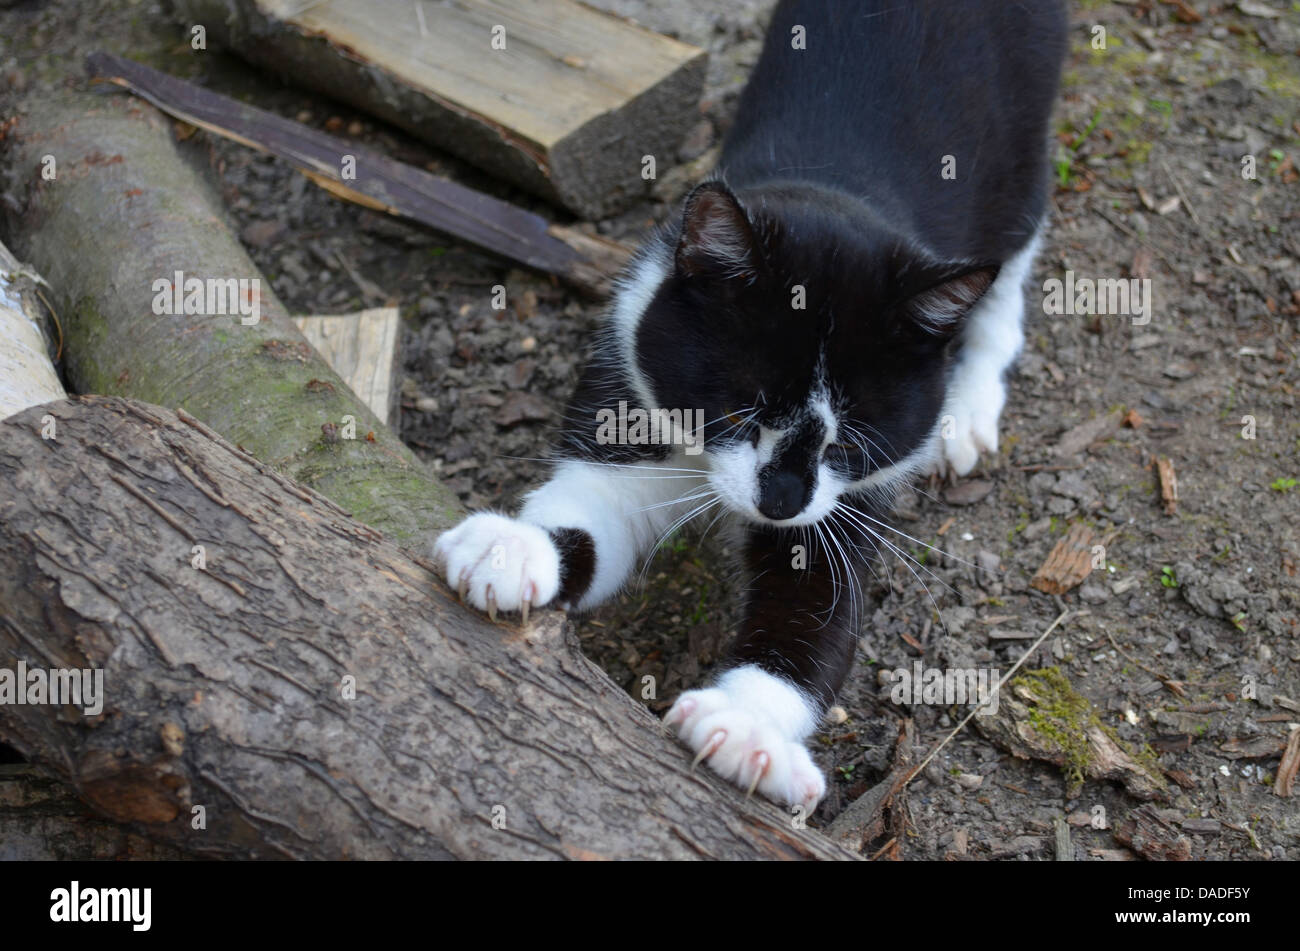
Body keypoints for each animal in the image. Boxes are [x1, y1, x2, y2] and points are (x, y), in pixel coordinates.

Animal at [434, 1, 1066, 810]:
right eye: (739, 411)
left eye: (847, 443)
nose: (780, 500)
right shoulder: (631, 386)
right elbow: (594, 505)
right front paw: (513, 547)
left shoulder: (848, 503)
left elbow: (816, 607)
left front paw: (747, 728)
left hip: (1021, 141)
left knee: (1011, 260)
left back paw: (969, 405)